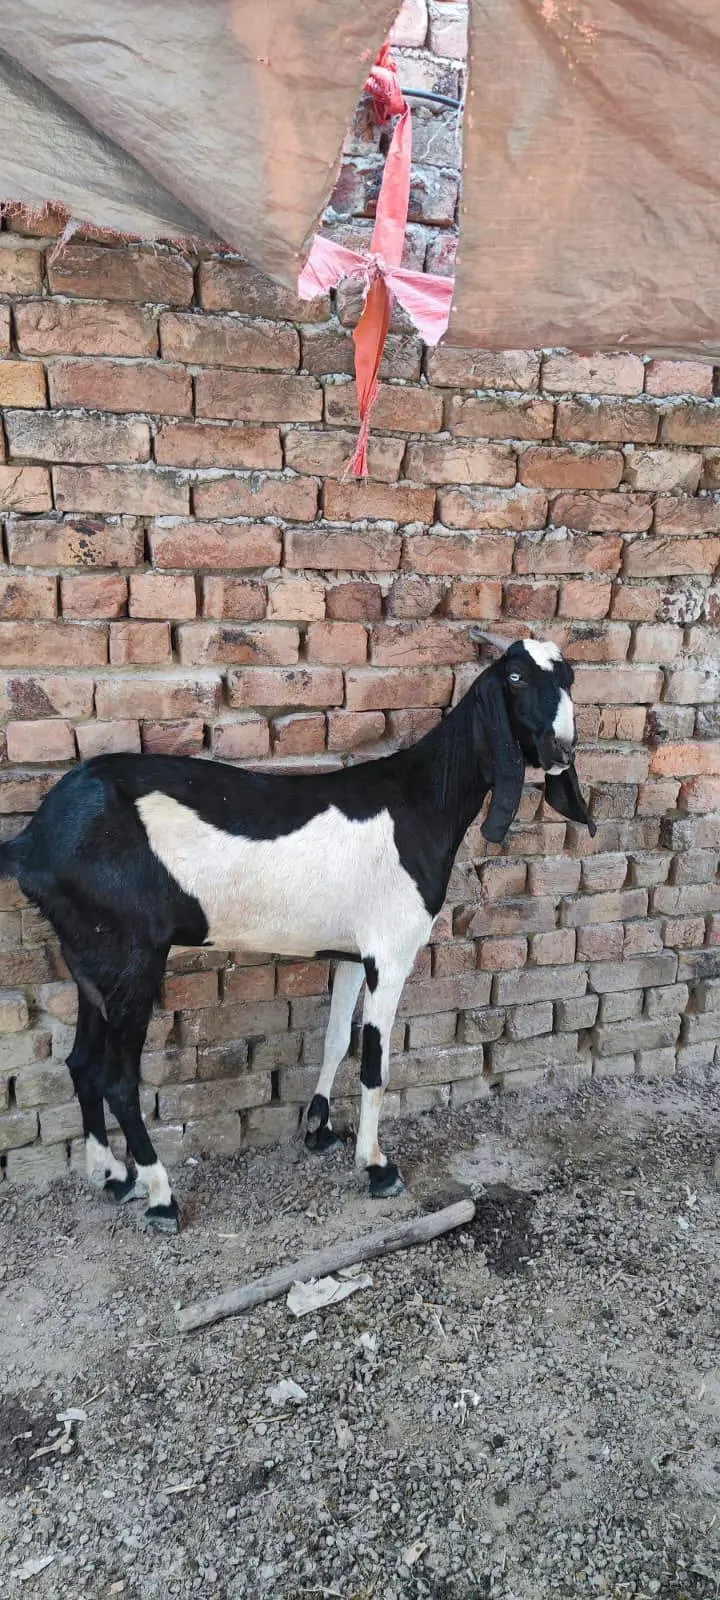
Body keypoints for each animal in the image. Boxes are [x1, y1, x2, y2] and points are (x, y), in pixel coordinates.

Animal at [0, 636, 594, 1234]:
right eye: (515, 678)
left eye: (568, 676)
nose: (562, 748)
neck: (420, 801)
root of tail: (32, 842)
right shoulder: (391, 954)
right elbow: (376, 1064)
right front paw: (377, 1166)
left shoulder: (355, 953)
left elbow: (337, 1040)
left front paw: (319, 1128)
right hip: (131, 958)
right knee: (118, 1079)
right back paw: (161, 1197)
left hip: (90, 957)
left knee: (82, 1065)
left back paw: (113, 1178)